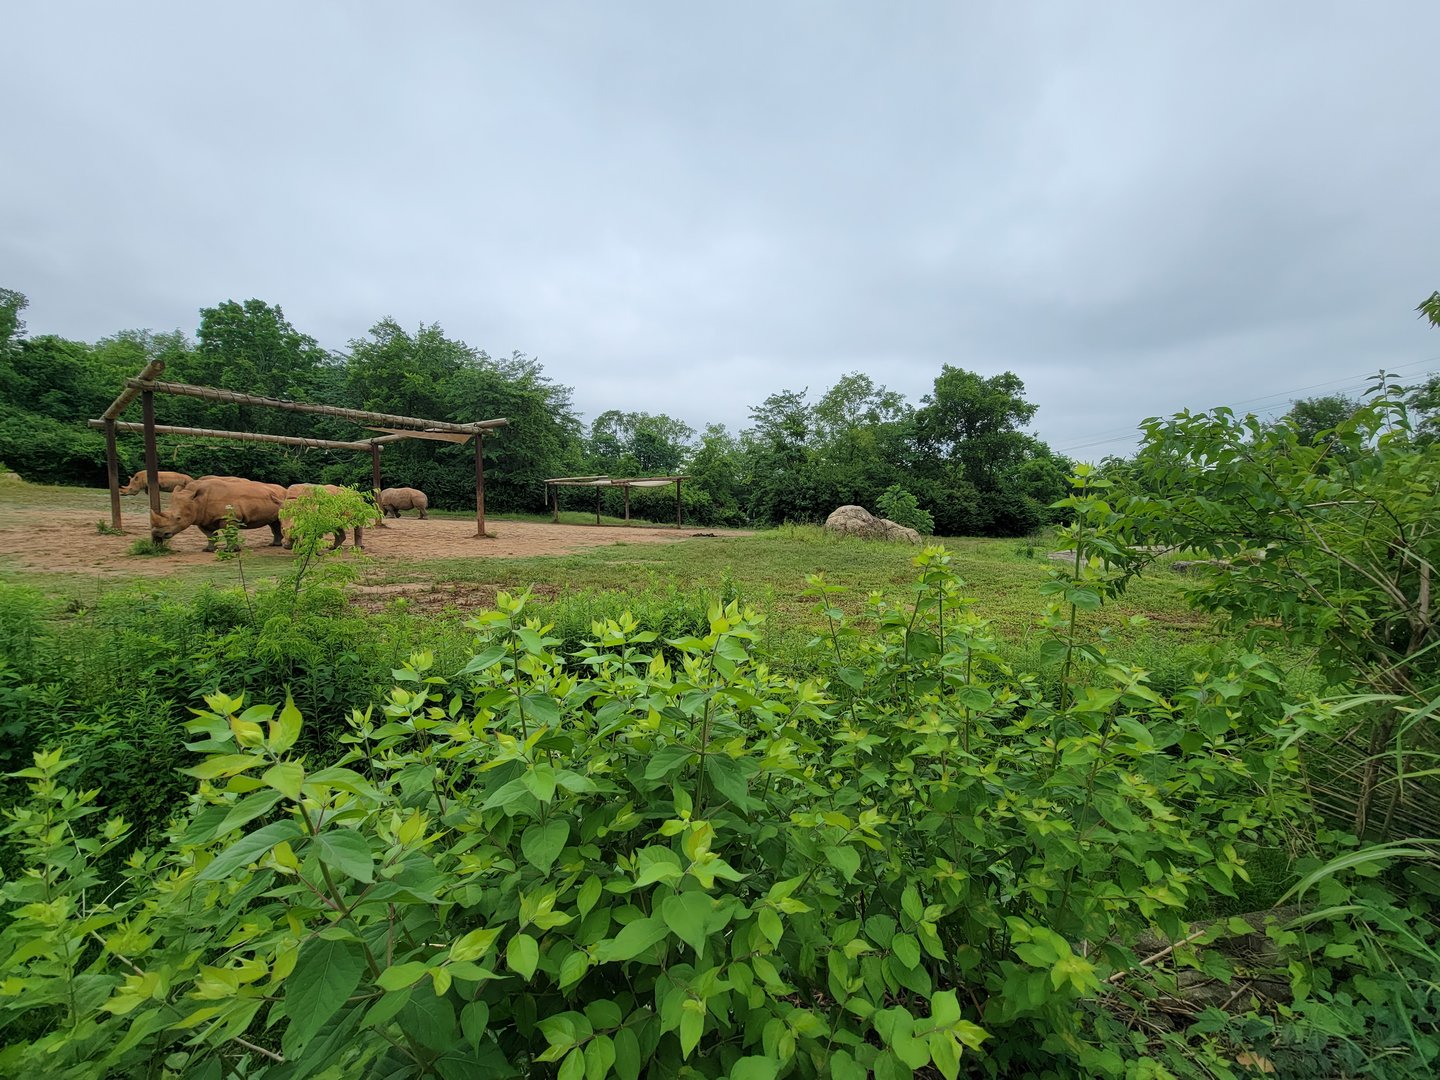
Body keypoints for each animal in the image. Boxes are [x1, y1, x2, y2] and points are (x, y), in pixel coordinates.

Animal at [149, 477, 285, 551]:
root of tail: (283, 488)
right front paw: (208, 550)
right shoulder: (202, 518)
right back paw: (274, 544)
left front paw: (230, 550)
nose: (157, 533)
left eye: (178, 518)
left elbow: (229, 534)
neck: (197, 502)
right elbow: (209, 535)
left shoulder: (229, 518)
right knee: (274, 523)